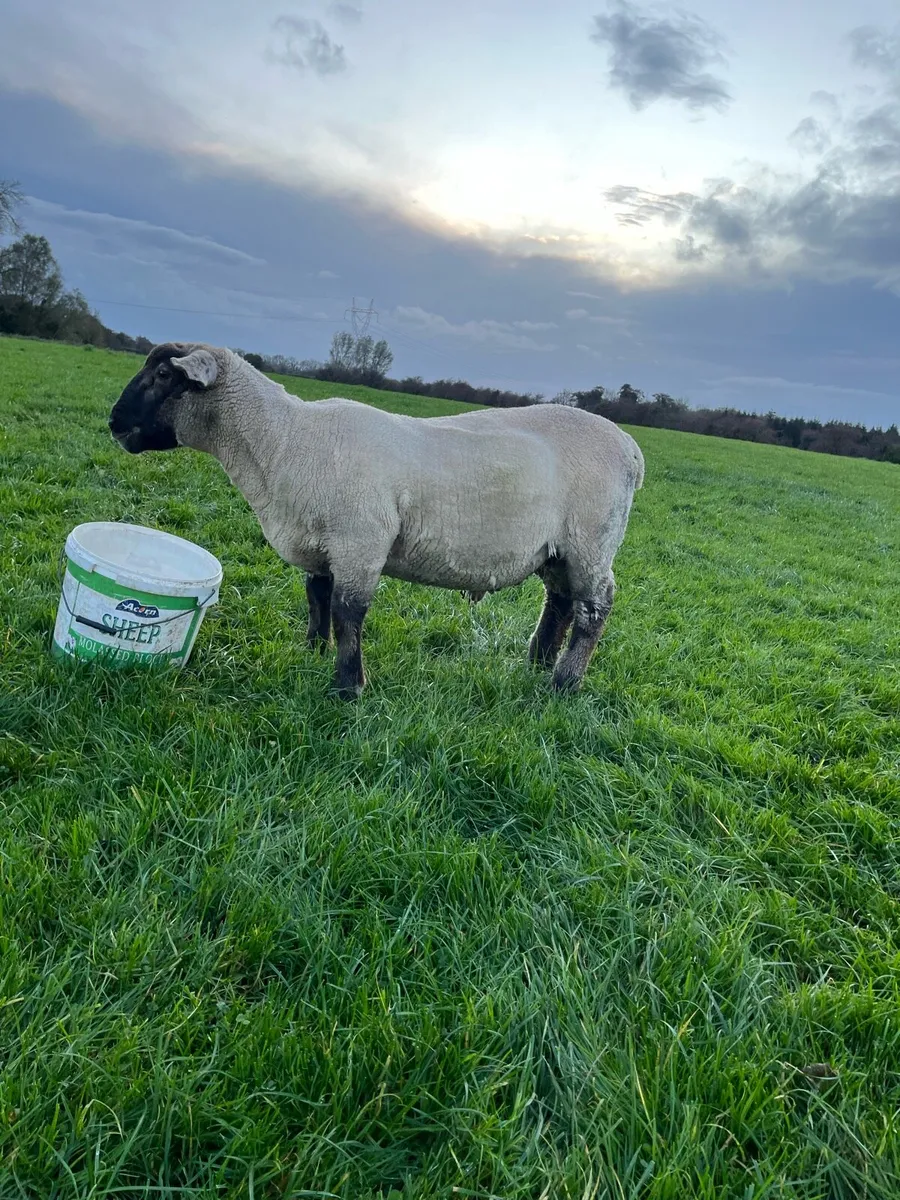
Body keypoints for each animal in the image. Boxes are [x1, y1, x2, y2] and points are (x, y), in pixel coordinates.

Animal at [108, 342, 645, 699]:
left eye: (164, 376)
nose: (113, 423)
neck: (282, 441)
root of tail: (631, 448)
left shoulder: (360, 541)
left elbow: (348, 613)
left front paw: (348, 688)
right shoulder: (323, 545)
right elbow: (317, 599)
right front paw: (313, 653)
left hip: (591, 542)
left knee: (594, 609)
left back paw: (564, 683)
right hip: (557, 549)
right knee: (560, 602)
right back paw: (536, 664)